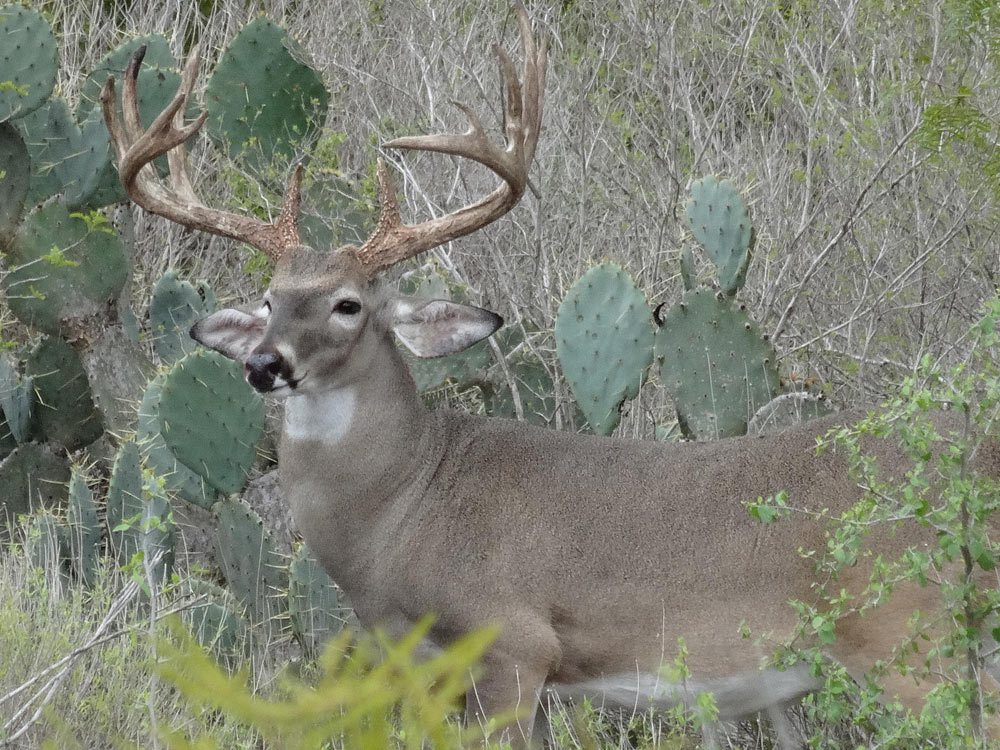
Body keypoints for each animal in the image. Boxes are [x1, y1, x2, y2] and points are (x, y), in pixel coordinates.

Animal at [100, 8, 1000, 748]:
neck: (402, 510)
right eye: (268, 299)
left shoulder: (510, 643)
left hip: (911, 634)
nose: (263, 364)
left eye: (349, 303)